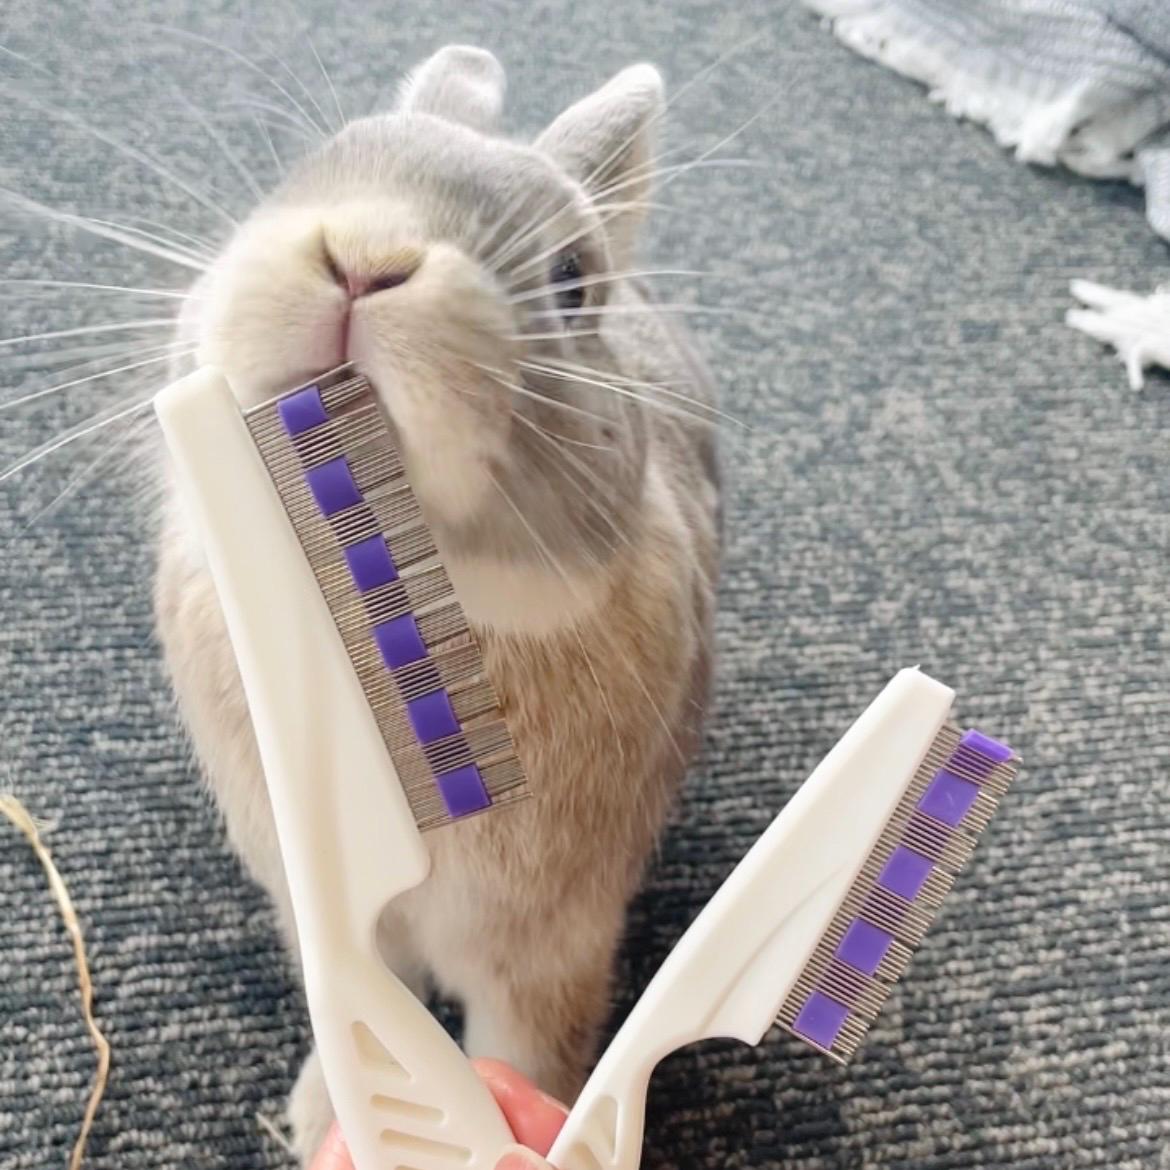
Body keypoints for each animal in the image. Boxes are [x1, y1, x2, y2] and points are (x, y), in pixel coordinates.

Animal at [152, 44, 720, 1162]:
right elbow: (372, 1003)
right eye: (317, 167)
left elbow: (523, 1046)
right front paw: (322, 1114)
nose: (364, 259)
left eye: (572, 277)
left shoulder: (549, 942)